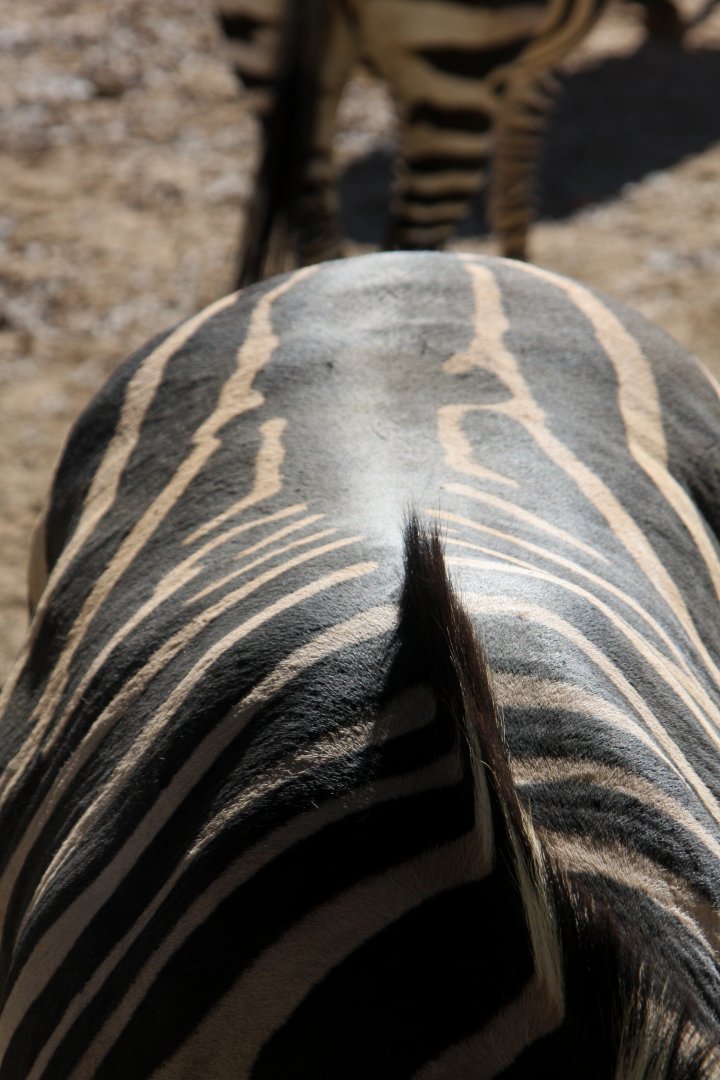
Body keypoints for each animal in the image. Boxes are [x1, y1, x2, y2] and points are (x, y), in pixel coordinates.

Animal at [221, 0, 687, 285]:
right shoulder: (533, 72)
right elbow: (516, 196)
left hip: (263, 56)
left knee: (318, 239)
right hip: (456, 61)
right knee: (410, 250)